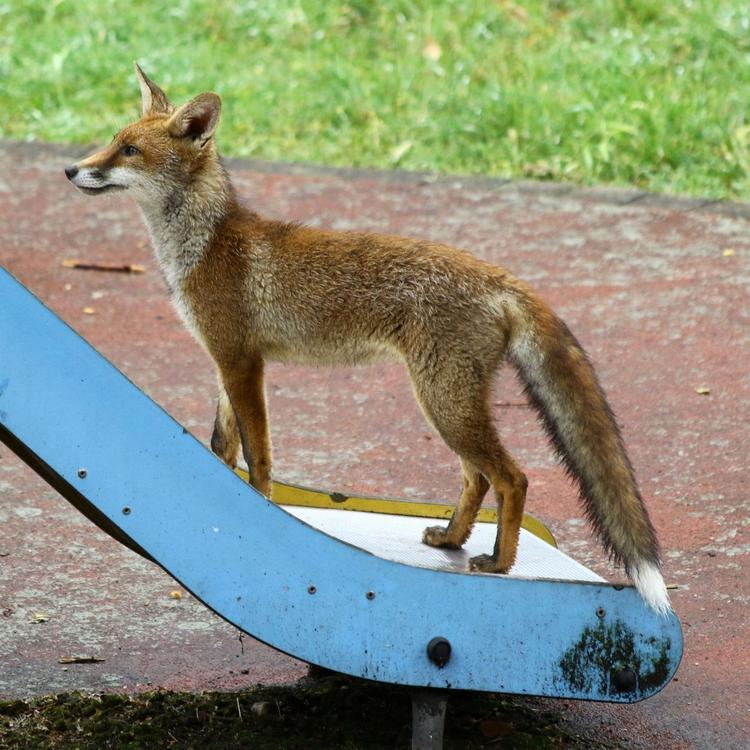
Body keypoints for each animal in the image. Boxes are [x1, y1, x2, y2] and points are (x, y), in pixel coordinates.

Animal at [64, 66, 672, 616]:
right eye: (111, 142)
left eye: (129, 151)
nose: (71, 169)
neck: (205, 244)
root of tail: (500, 277)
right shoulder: (224, 364)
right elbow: (222, 449)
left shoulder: (242, 362)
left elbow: (258, 458)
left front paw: (260, 513)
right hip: (447, 403)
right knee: (476, 478)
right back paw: (452, 538)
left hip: (444, 402)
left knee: (512, 477)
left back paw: (500, 562)